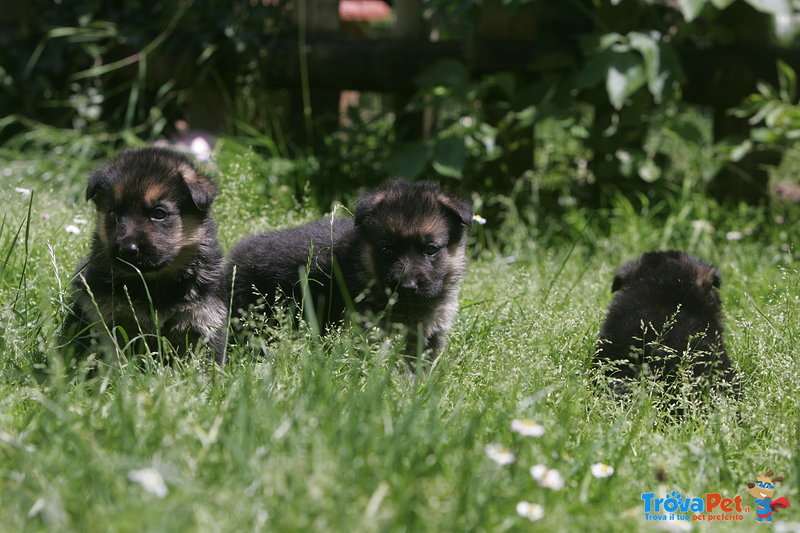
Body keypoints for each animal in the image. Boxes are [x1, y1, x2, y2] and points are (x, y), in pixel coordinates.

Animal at [60, 148, 225, 364]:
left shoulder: (201, 318)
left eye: (159, 213)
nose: (128, 249)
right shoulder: (107, 315)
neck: (152, 281)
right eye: (114, 213)